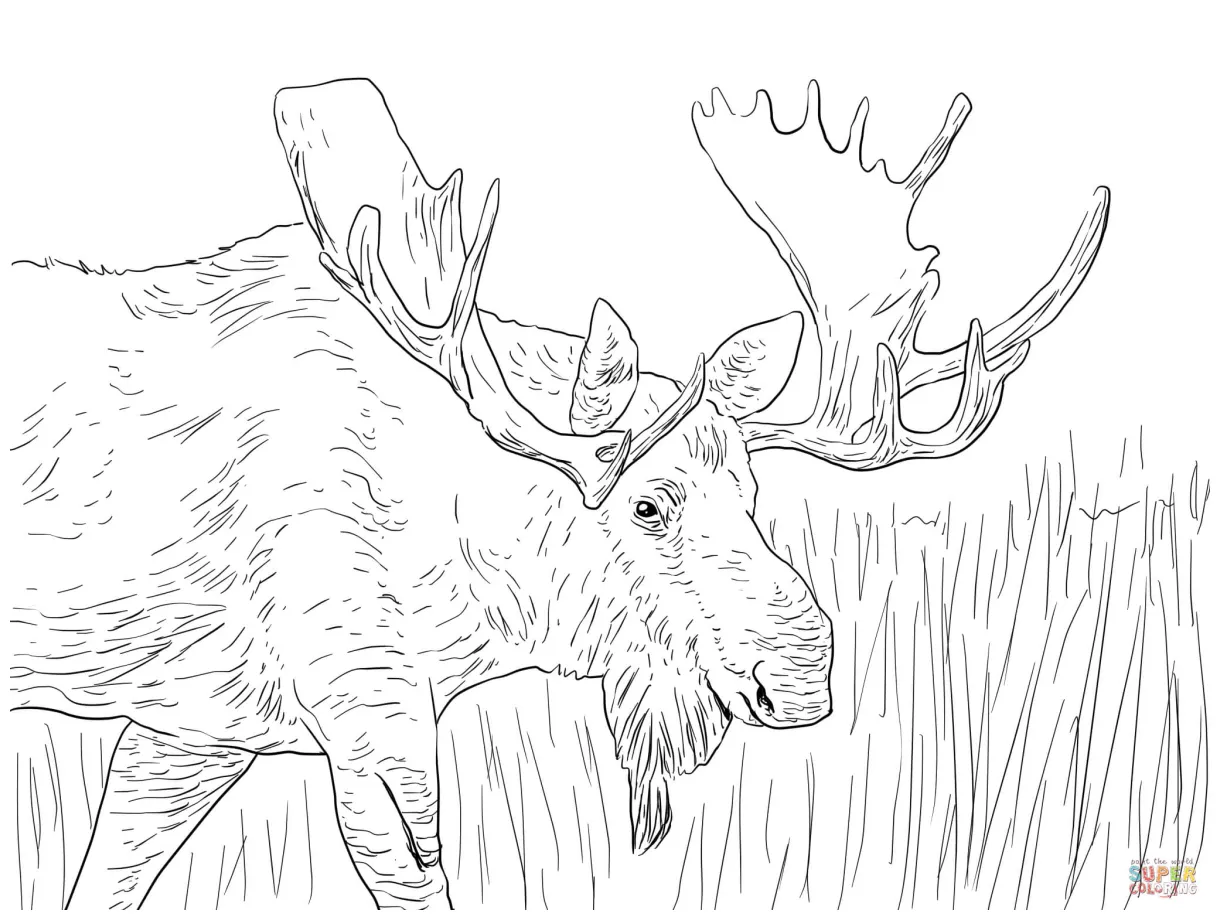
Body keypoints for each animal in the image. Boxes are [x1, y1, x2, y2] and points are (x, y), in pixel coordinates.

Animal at [7, 77, 1108, 909]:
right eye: (647, 504)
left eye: (751, 490)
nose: (798, 672)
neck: (471, 594)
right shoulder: (370, 726)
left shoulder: (191, 728)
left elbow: (103, 880)